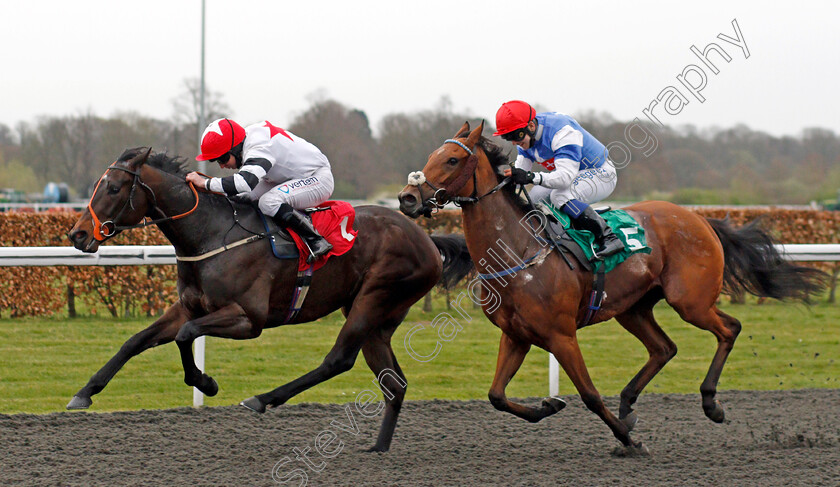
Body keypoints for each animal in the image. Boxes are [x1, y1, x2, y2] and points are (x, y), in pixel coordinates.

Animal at [65, 147, 472, 452]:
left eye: (113, 188)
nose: (77, 234)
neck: (211, 234)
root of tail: (428, 240)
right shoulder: (189, 307)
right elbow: (136, 341)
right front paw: (84, 393)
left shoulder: (248, 319)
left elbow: (186, 335)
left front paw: (206, 383)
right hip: (376, 318)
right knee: (393, 383)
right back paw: (378, 448)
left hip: (374, 298)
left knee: (338, 360)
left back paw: (263, 398)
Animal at [398, 121, 824, 454]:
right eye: (433, 155)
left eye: (452, 160)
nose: (407, 197)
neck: (518, 251)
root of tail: (701, 219)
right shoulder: (516, 335)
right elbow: (497, 396)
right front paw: (549, 408)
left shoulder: (561, 335)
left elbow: (588, 394)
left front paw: (629, 441)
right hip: (633, 308)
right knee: (664, 348)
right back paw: (628, 405)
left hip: (690, 301)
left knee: (728, 329)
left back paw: (710, 404)